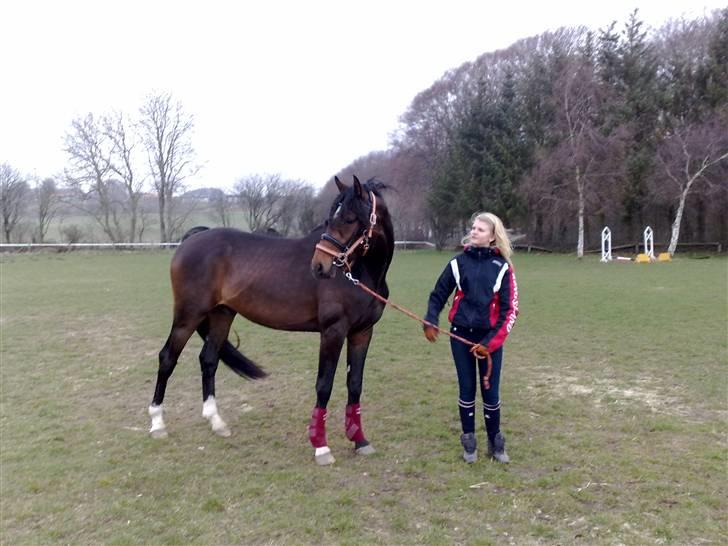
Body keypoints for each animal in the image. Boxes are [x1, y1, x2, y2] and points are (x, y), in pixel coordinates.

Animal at [149, 175, 396, 464]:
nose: (320, 266)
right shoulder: (333, 332)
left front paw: (360, 440)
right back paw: (157, 424)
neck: (360, 273)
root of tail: (194, 238)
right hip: (188, 315)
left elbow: (355, 384)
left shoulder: (362, 332)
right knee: (167, 358)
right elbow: (324, 385)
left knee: (208, 360)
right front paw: (321, 447)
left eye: (349, 219)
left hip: (222, 314)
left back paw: (216, 422)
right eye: (329, 219)